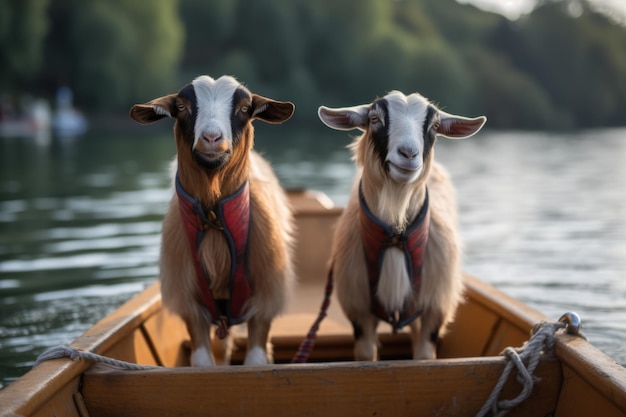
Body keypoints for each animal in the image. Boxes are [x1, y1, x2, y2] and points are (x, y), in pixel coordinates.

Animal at [129, 75, 294, 364]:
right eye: (181, 107)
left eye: (244, 108)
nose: (211, 138)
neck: (213, 216)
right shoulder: (191, 305)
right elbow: (203, 363)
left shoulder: (265, 300)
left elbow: (257, 361)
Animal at [320, 92, 486, 360]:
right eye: (374, 118)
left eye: (435, 126)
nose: (408, 154)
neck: (395, 234)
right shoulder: (359, 311)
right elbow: (365, 356)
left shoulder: (434, 308)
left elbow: (425, 357)